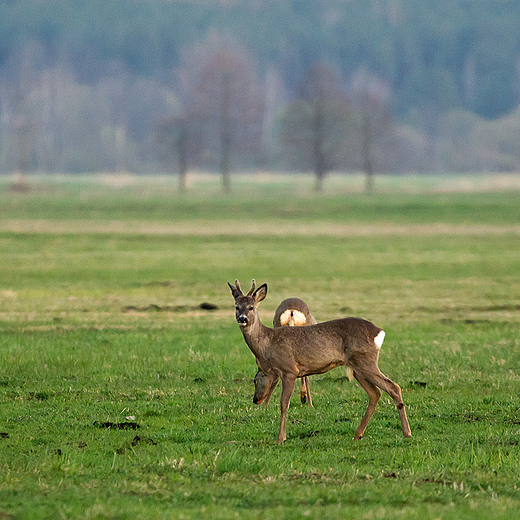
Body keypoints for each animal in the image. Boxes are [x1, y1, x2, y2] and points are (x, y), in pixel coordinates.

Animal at [228, 280, 410, 442]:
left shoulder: (289, 370)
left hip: (366, 361)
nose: (242, 318)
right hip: (357, 367)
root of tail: (379, 332)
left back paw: (406, 433)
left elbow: (283, 404)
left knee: (393, 387)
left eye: (251, 307)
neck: (268, 343)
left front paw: (281, 438)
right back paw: (358, 434)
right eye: (236, 307)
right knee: (375, 393)